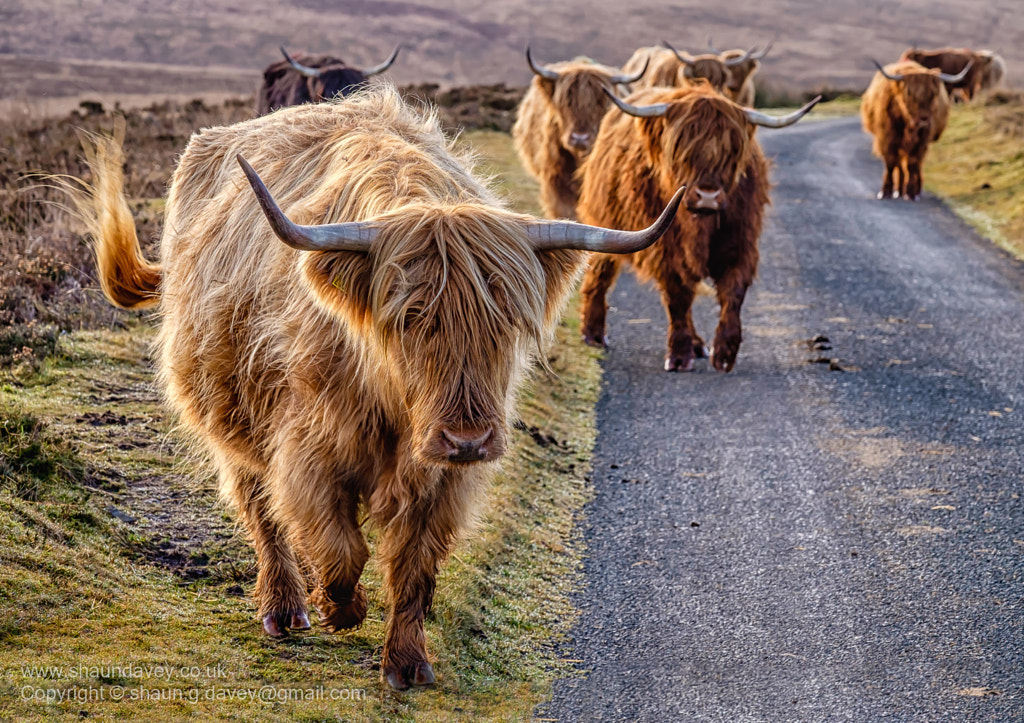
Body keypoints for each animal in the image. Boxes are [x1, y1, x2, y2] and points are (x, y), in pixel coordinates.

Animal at [70, 86, 679, 688]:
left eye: (505, 320)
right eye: (410, 318)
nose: (468, 441)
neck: (390, 408)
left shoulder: (442, 482)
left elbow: (413, 566)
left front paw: (407, 663)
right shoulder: (306, 452)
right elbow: (340, 549)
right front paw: (340, 608)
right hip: (229, 420)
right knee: (261, 509)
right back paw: (284, 609)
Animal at [581, 84, 819, 372]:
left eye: (732, 150)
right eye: (682, 148)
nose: (707, 196)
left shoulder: (740, 244)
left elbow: (733, 293)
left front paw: (725, 352)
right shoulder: (666, 249)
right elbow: (678, 297)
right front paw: (680, 355)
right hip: (604, 226)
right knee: (600, 276)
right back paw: (593, 334)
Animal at [860, 58, 962, 198]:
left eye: (933, 94)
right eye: (909, 93)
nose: (923, 119)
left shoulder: (921, 141)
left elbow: (912, 163)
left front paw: (911, 192)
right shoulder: (887, 137)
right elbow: (890, 162)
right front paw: (886, 190)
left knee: (917, 164)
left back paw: (912, 189)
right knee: (899, 163)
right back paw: (898, 189)